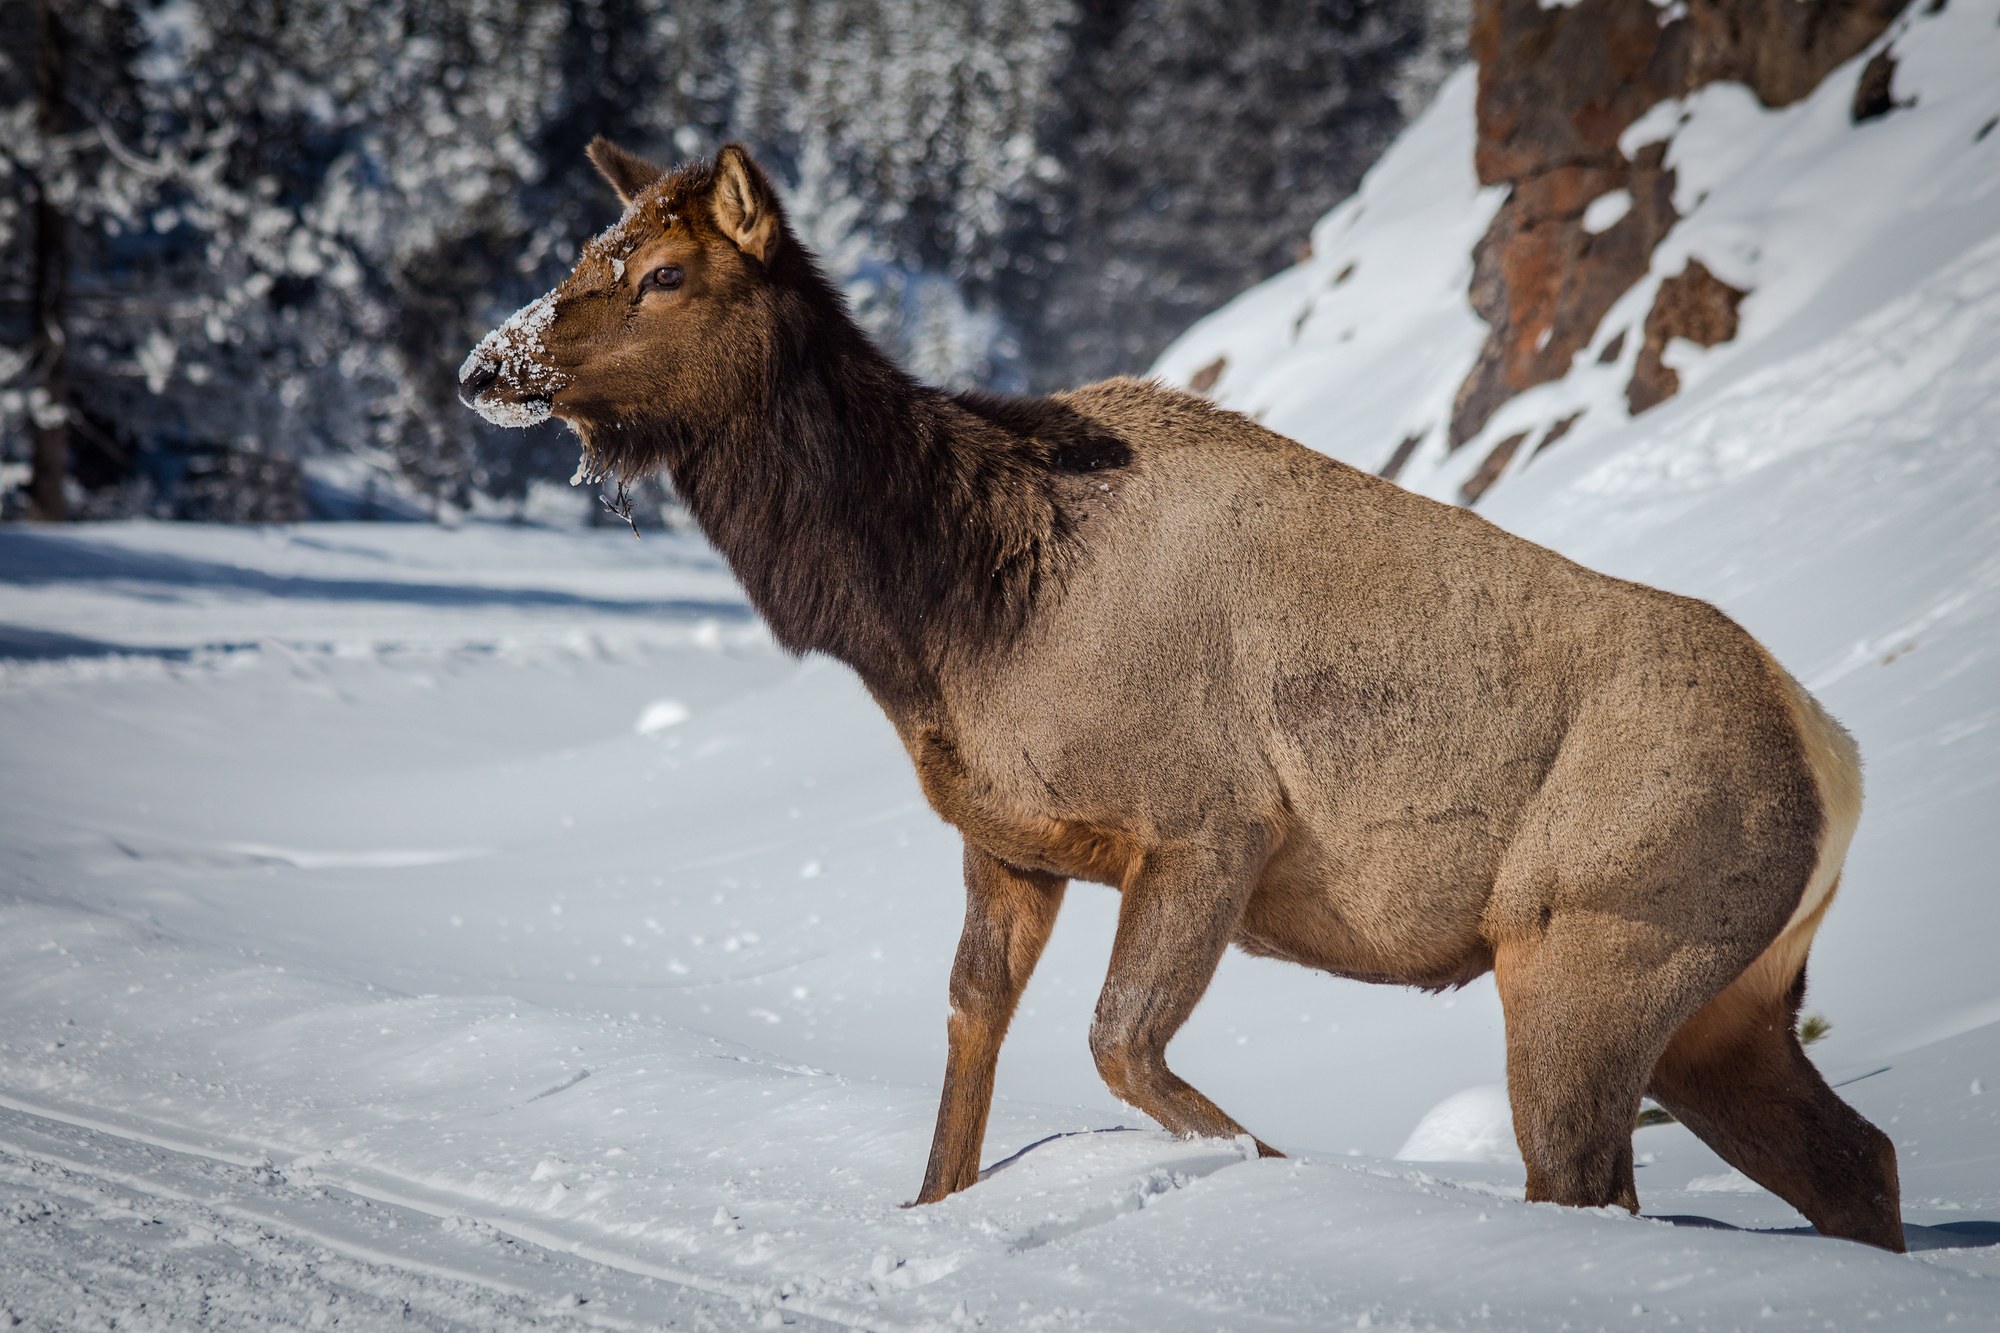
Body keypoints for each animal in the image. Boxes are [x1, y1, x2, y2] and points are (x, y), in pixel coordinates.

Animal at [459, 140, 1905, 1251]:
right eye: (583, 251)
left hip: (1592, 942)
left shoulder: (1212, 825)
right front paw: (930, 1206)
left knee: (1591, 1181)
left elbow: (1121, 1048)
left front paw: (1251, 1173)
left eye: (660, 273)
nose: (487, 365)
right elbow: (970, 1031)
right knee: (1860, 1160)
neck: (948, 614)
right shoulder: (1009, 840)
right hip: (1722, 997)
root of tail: (1833, 758)